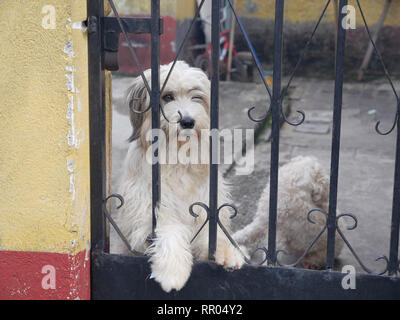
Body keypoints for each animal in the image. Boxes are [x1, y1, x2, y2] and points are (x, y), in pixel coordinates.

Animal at [109, 60, 244, 292]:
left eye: (197, 96)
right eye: (168, 96)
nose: (187, 121)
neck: (177, 157)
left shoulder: (207, 207)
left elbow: (213, 232)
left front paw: (228, 251)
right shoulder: (146, 216)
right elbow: (171, 228)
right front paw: (172, 272)